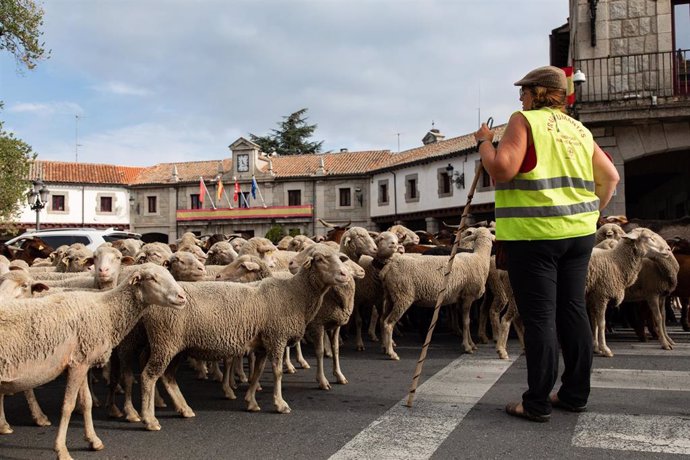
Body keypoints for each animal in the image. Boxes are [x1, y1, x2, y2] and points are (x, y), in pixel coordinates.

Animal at [0, 264, 185, 458]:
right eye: (151, 278)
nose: (182, 297)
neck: (106, 310)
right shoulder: (78, 364)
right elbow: (68, 406)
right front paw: (62, 450)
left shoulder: (81, 360)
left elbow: (86, 402)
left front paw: (93, 441)